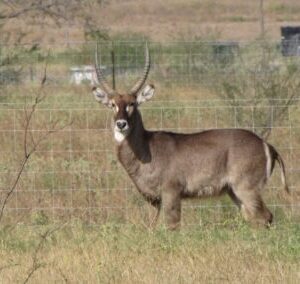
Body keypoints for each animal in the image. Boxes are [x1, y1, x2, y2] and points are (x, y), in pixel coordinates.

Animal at [91, 45, 288, 231]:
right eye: (112, 104)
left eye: (132, 103)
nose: (121, 124)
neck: (147, 147)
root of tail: (266, 144)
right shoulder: (153, 201)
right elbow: (151, 226)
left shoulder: (171, 193)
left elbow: (172, 226)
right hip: (234, 191)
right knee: (253, 218)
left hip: (246, 188)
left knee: (265, 217)